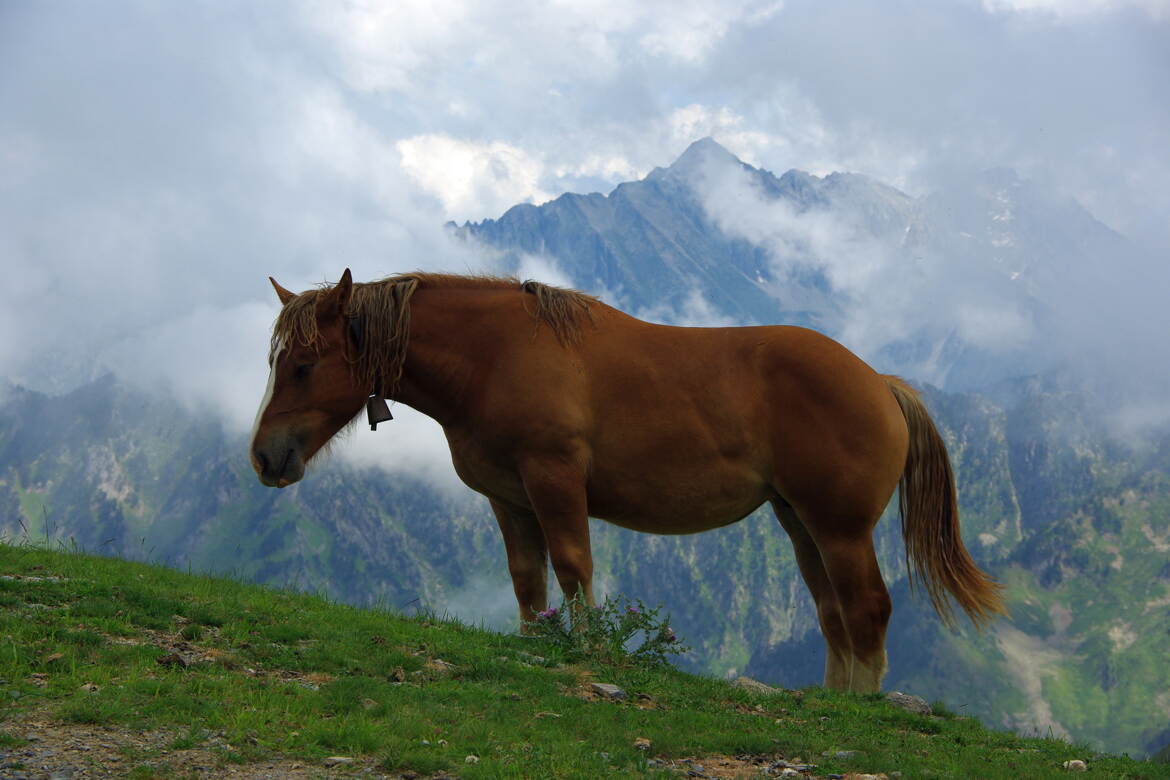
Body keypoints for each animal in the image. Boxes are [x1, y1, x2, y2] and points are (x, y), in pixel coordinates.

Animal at [251, 271, 1001, 692]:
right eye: (277, 360)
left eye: (305, 364)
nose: (265, 457)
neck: (497, 354)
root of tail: (879, 382)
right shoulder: (509, 499)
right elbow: (528, 584)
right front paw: (537, 649)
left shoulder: (554, 482)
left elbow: (573, 568)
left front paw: (584, 652)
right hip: (800, 524)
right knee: (835, 613)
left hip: (840, 528)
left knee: (868, 608)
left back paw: (862, 707)